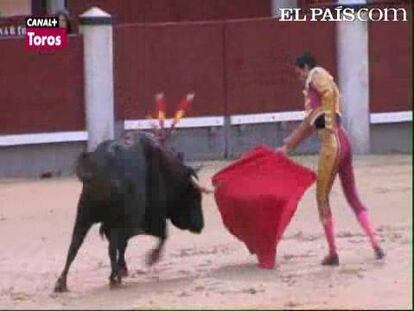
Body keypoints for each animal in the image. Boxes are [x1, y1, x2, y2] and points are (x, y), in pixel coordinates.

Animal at [53, 133, 205, 294]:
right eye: (195, 197)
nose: (201, 225)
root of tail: (100, 167)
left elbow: (122, 245)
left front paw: (123, 268)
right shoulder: (147, 219)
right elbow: (161, 236)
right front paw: (150, 259)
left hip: (84, 214)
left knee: (74, 245)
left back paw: (62, 283)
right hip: (115, 219)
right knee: (110, 246)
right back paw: (114, 278)